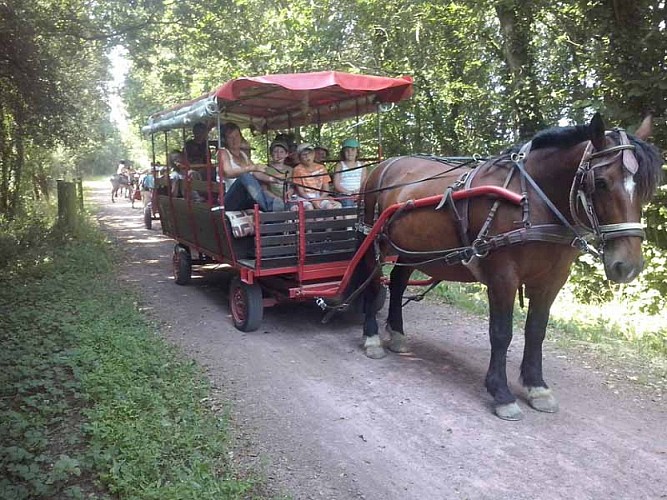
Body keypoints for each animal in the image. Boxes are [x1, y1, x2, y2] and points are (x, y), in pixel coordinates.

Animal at [351, 113, 662, 420]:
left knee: (398, 282)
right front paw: (501, 393)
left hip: (410, 250)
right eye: (601, 182)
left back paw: (397, 334)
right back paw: (372, 337)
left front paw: (537, 387)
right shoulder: (503, 276)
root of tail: (385, 165)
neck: (532, 200)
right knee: (374, 284)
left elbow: (536, 331)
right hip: (376, 242)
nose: (628, 266)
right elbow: (501, 333)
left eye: (646, 188)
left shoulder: (552, 280)